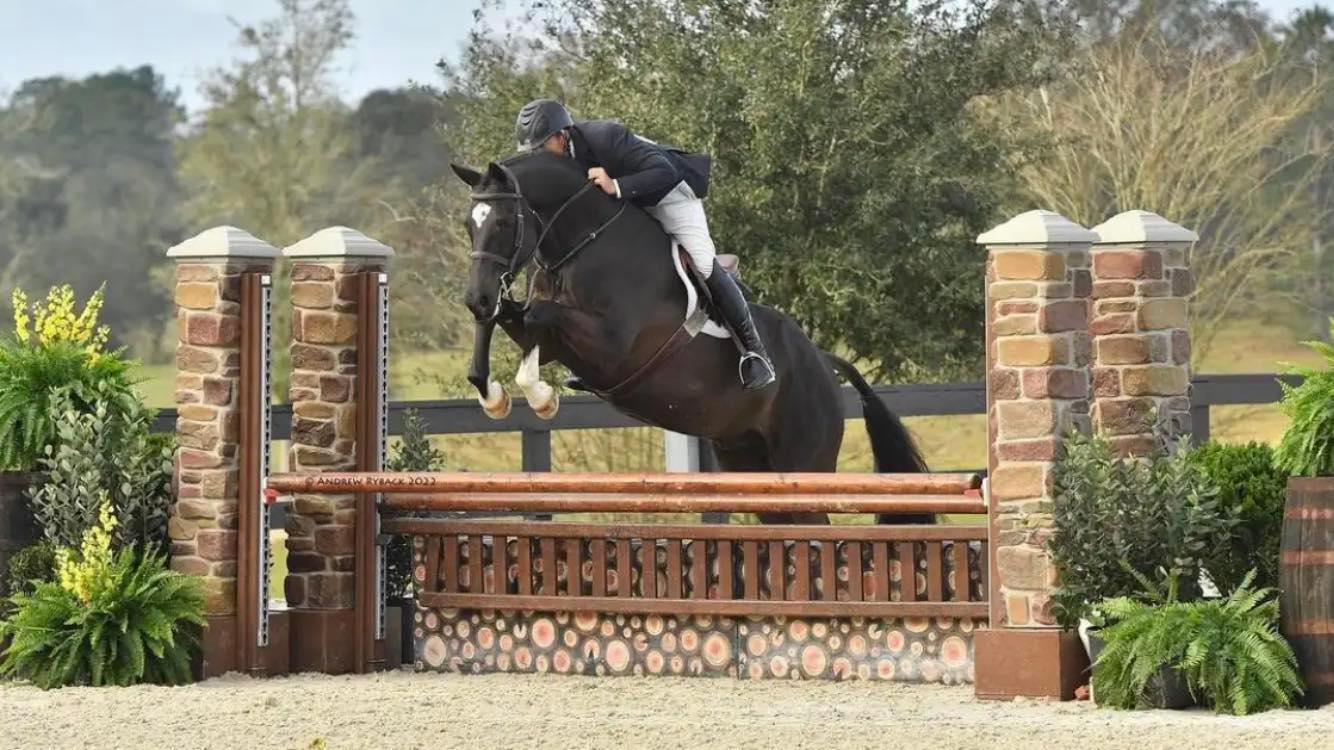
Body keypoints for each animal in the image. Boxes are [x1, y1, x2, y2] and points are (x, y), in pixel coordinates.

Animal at [448, 149, 928, 523]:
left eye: (504, 221)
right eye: (469, 224)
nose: (476, 298)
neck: (584, 241)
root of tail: (825, 362)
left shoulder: (613, 347)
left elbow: (539, 317)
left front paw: (539, 396)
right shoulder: (552, 337)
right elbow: (515, 321)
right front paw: (496, 396)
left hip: (803, 463)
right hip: (750, 465)